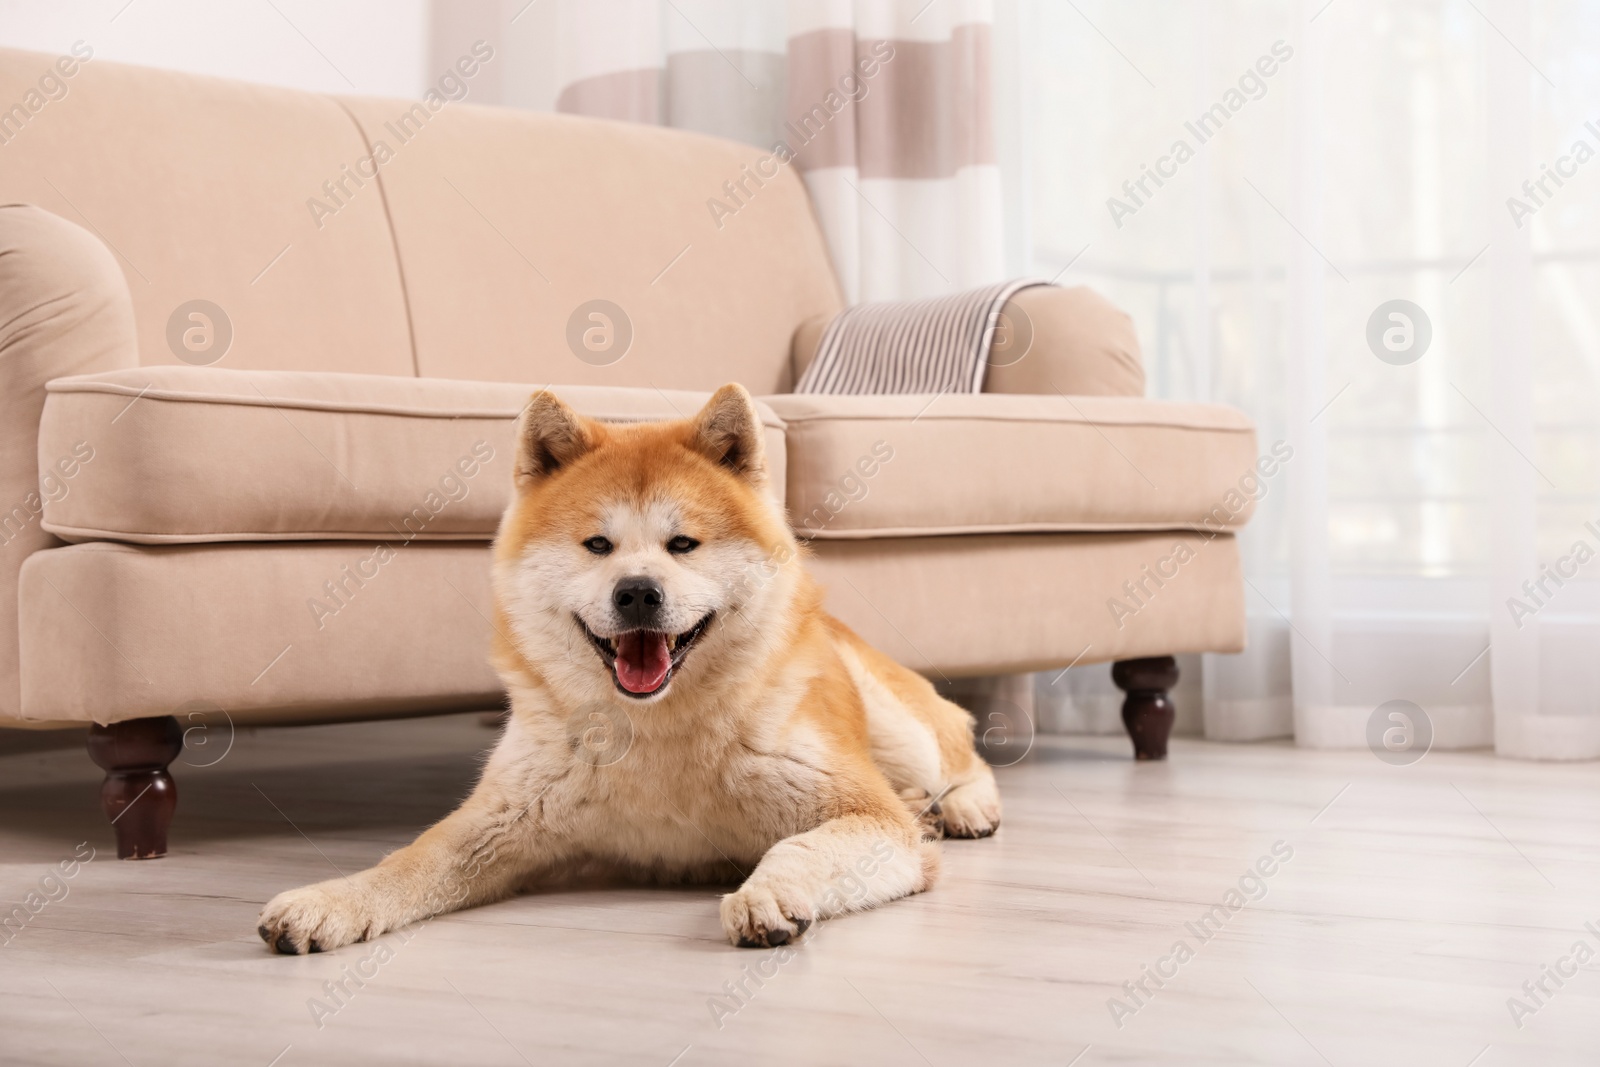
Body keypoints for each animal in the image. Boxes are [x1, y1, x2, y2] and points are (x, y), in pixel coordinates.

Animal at [259, 383, 998, 953]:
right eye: (597, 545)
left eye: (683, 544)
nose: (637, 592)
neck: (656, 732)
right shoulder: (500, 819)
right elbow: (405, 863)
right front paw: (329, 901)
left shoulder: (867, 819)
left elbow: (799, 849)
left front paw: (767, 894)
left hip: (899, 730)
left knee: (960, 746)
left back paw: (963, 806)